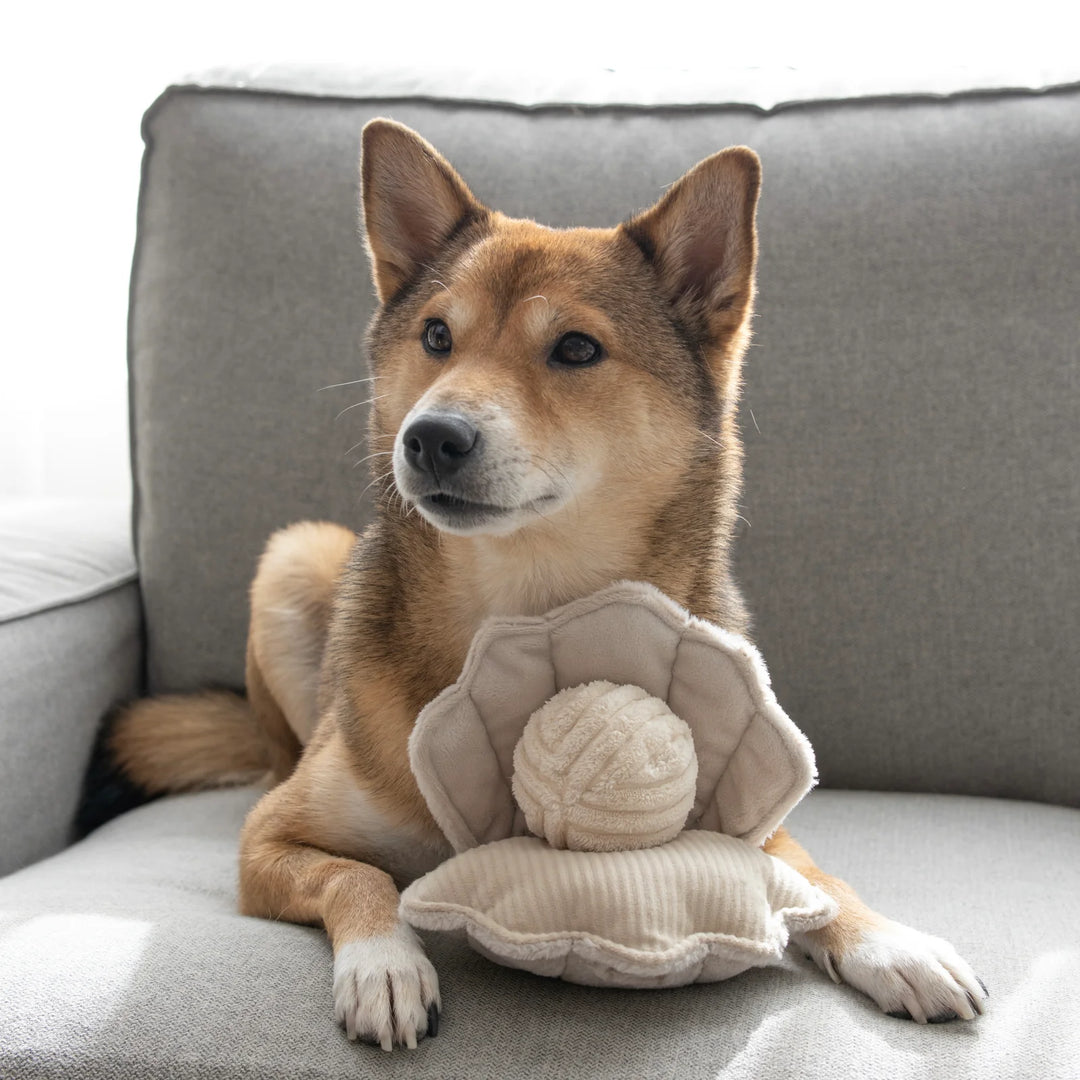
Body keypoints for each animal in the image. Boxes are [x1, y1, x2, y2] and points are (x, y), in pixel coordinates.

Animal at [111, 120, 989, 1054]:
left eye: (576, 348)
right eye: (436, 336)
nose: (431, 437)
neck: (529, 596)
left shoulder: (760, 828)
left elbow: (821, 880)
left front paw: (894, 943)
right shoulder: (270, 840)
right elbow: (361, 878)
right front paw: (384, 964)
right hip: (297, 558)